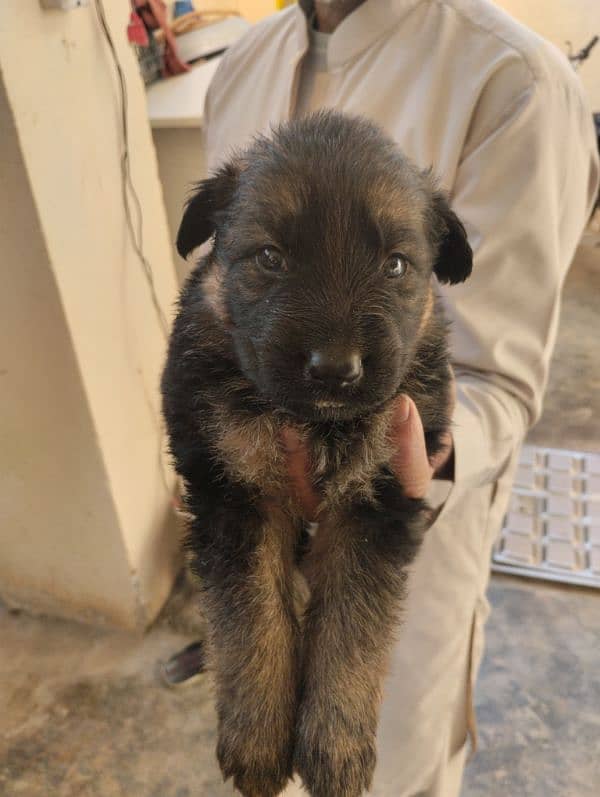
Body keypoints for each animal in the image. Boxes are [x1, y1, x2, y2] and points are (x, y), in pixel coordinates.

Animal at [162, 109, 472, 792]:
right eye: (270, 257)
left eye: (396, 266)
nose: (334, 369)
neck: (313, 426)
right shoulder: (232, 492)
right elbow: (250, 618)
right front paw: (257, 741)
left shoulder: (380, 498)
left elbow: (354, 628)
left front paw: (335, 745)